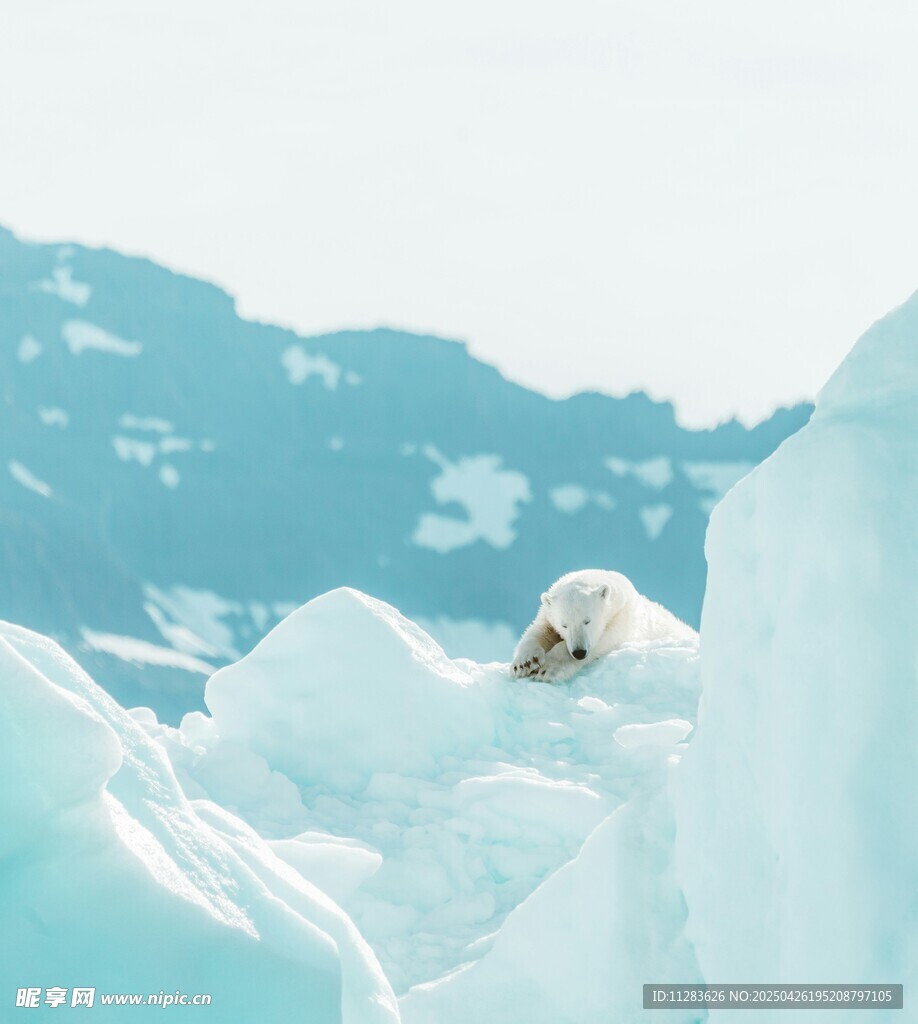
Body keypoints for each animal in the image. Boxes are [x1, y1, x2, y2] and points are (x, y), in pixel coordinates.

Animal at [511, 569, 696, 682]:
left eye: (587, 620)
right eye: (564, 625)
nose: (579, 652)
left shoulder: (622, 618)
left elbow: (602, 640)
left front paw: (547, 669)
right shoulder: (548, 614)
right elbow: (539, 630)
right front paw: (525, 663)